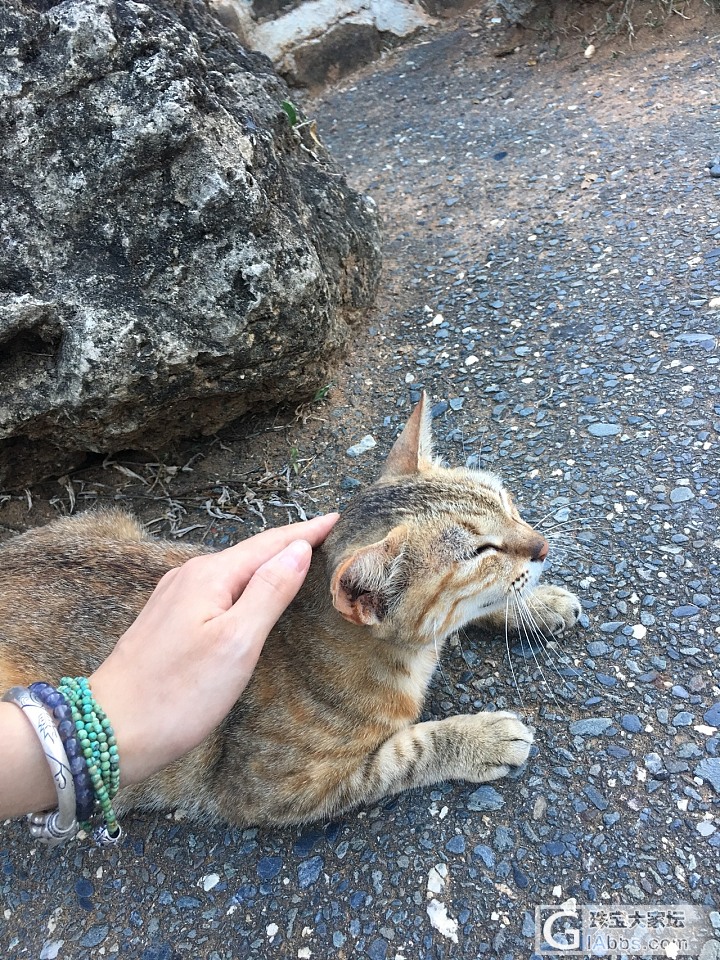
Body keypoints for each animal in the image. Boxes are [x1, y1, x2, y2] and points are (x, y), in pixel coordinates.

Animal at [0, 394, 580, 828]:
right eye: (481, 552)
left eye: (506, 502)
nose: (543, 545)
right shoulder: (278, 789)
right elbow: (405, 754)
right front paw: (479, 737)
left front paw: (537, 604)